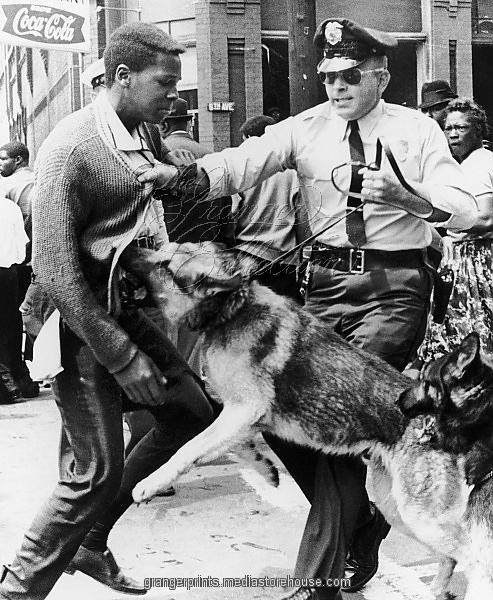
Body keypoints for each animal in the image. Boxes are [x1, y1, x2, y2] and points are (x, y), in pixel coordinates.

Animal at [120, 241, 492, 596]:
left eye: (165, 264)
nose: (126, 250)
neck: (231, 310)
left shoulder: (242, 409)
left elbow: (188, 449)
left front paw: (150, 483)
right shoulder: (234, 412)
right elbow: (231, 446)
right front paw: (263, 467)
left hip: (420, 513)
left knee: (468, 555)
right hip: (395, 504)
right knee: (444, 553)